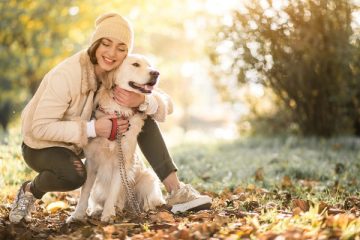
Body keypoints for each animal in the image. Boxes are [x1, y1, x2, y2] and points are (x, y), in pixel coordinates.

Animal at [67, 53, 166, 222]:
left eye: (149, 65)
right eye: (135, 64)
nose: (156, 73)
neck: (117, 113)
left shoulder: (121, 161)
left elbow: (113, 190)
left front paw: (108, 214)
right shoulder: (91, 161)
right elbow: (85, 191)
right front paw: (77, 215)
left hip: (147, 177)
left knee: (150, 198)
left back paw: (143, 207)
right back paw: (99, 210)